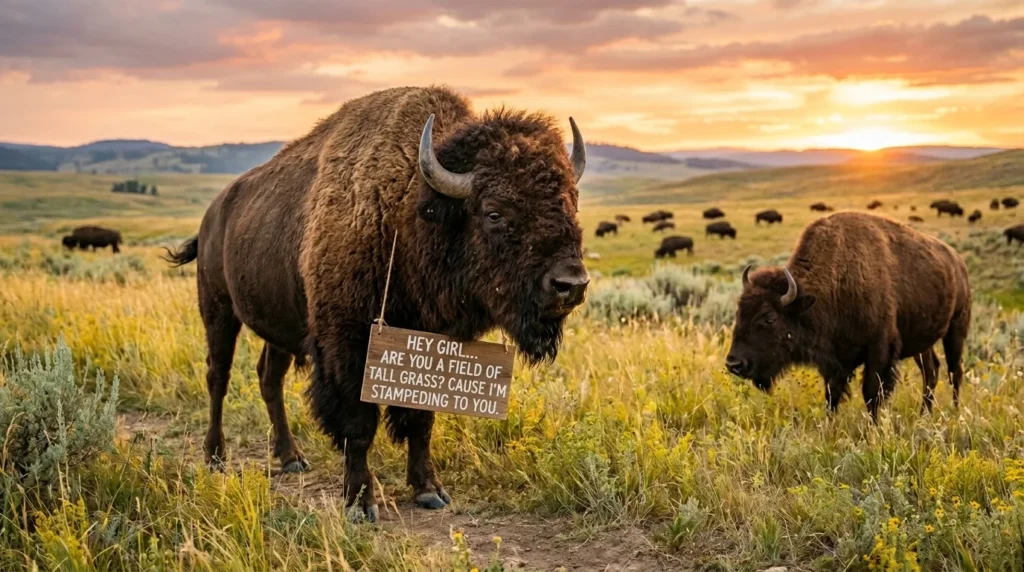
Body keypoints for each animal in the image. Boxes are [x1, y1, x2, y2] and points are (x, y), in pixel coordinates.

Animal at [163, 87, 590, 522]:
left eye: (571, 203)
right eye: (494, 212)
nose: (571, 284)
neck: (407, 209)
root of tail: (212, 215)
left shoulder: (428, 345)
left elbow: (420, 420)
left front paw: (429, 490)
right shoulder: (347, 347)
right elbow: (358, 425)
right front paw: (361, 502)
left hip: (278, 327)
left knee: (269, 377)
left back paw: (291, 458)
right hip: (217, 310)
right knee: (218, 376)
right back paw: (215, 457)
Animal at [726, 212, 971, 419]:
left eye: (769, 318)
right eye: (739, 312)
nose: (734, 363)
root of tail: (958, 261)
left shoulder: (880, 350)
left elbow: (872, 394)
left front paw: (873, 431)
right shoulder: (834, 361)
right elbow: (832, 396)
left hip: (956, 329)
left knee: (954, 371)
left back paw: (955, 412)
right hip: (923, 343)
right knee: (932, 371)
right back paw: (924, 415)